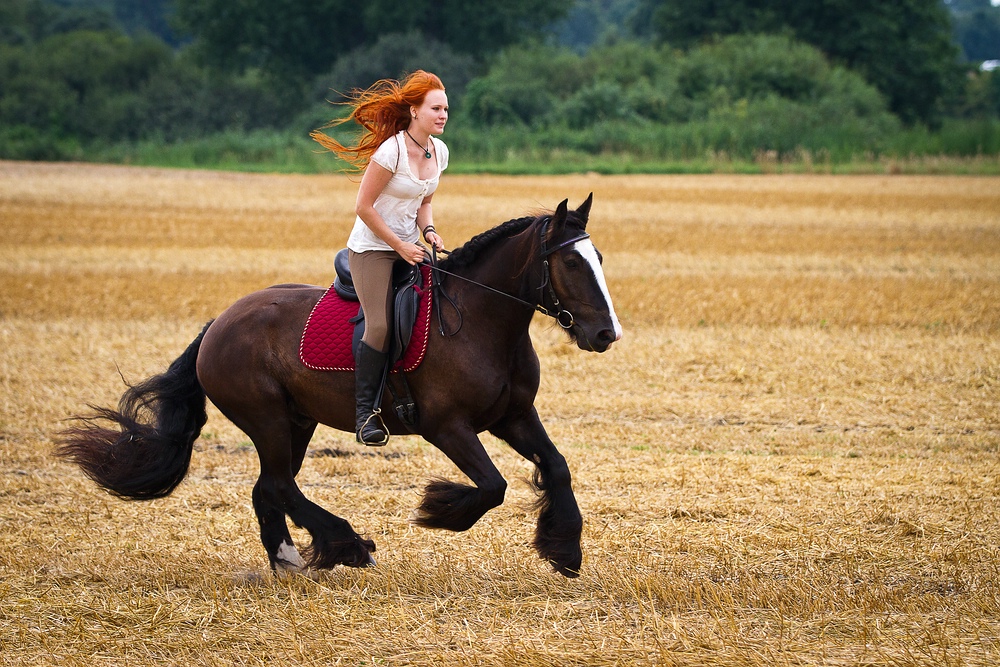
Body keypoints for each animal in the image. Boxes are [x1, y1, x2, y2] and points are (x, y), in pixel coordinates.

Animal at [58, 194, 620, 580]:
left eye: (599, 257)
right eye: (572, 262)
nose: (605, 334)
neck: (482, 322)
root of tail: (220, 322)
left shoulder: (513, 416)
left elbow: (557, 466)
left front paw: (565, 549)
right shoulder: (448, 428)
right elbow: (492, 486)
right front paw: (438, 510)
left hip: (297, 421)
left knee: (269, 487)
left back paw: (289, 559)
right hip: (267, 418)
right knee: (279, 485)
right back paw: (347, 546)